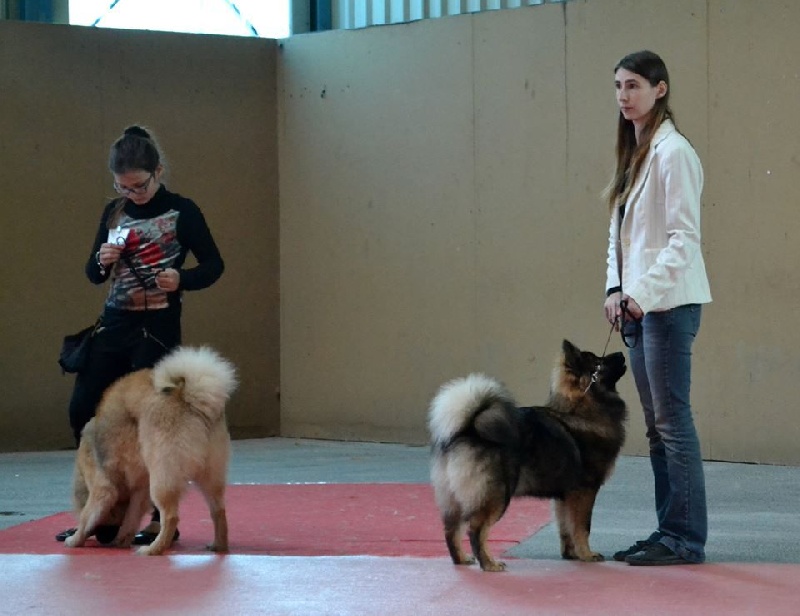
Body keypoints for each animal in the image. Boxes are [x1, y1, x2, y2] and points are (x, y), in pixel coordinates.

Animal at [65, 346, 237, 556]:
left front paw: (75, 539)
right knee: (218, 511)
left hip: (163, 476)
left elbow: (86, 516)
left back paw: (154, 549)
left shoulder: (102, 487)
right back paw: (218, 545)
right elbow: (131, 519)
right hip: (209, 476)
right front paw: (122, 539)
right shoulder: (140, 490)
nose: (106, 538)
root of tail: (188, 397)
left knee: (171, 516)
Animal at [428, 339, 627, 571]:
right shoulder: (585, 490)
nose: (621, 353)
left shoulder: (565, 496)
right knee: (475, 530)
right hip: (497, 496)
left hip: (455, 499)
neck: (582, 410)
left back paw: (461, 559)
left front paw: (571, 554)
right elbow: (582, 527)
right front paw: (587, 554)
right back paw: (489, 564)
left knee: (451, 530)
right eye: (598, 362)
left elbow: (565, 527)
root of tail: (467, 429)